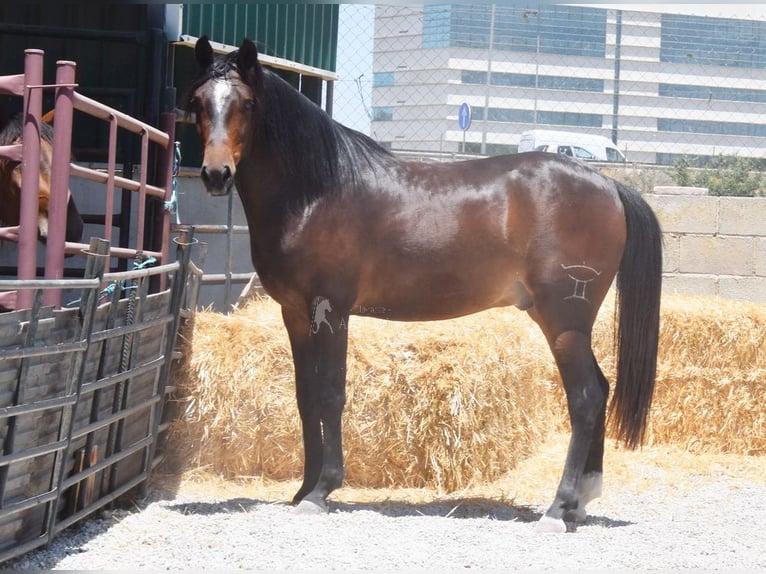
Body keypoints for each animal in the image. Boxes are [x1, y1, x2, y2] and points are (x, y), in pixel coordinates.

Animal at [185, 36, 663, 533]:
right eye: (196, 102)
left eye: (246, 103)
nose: (215, 175)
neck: (317, 192)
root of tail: (609, 186)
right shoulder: (295, 313)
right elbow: (305, 397)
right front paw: (303, 489)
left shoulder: (331, 311)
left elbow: (331, 395)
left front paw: (322, 490)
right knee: (601, 389)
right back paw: (582, 501)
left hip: (563, 323)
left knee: (586, 397)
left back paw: (558, 509)